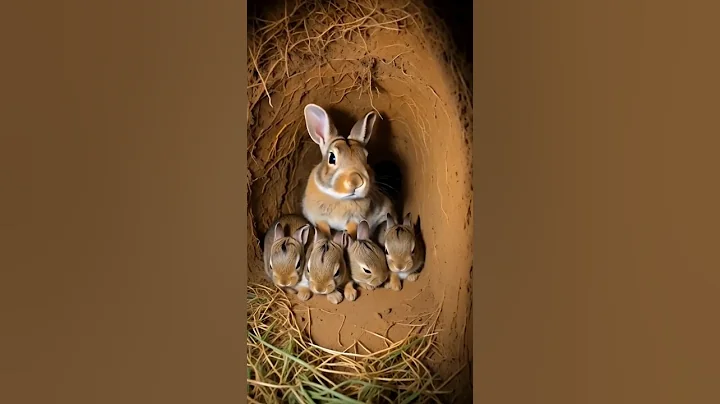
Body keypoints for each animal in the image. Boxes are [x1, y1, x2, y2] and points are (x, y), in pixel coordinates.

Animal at [301, 104, 395, 240]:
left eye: (366, 158)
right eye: (332, 158)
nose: (356, 181)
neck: (340, 198)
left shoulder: (355, 220)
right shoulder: (319, 218)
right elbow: (324, 229)